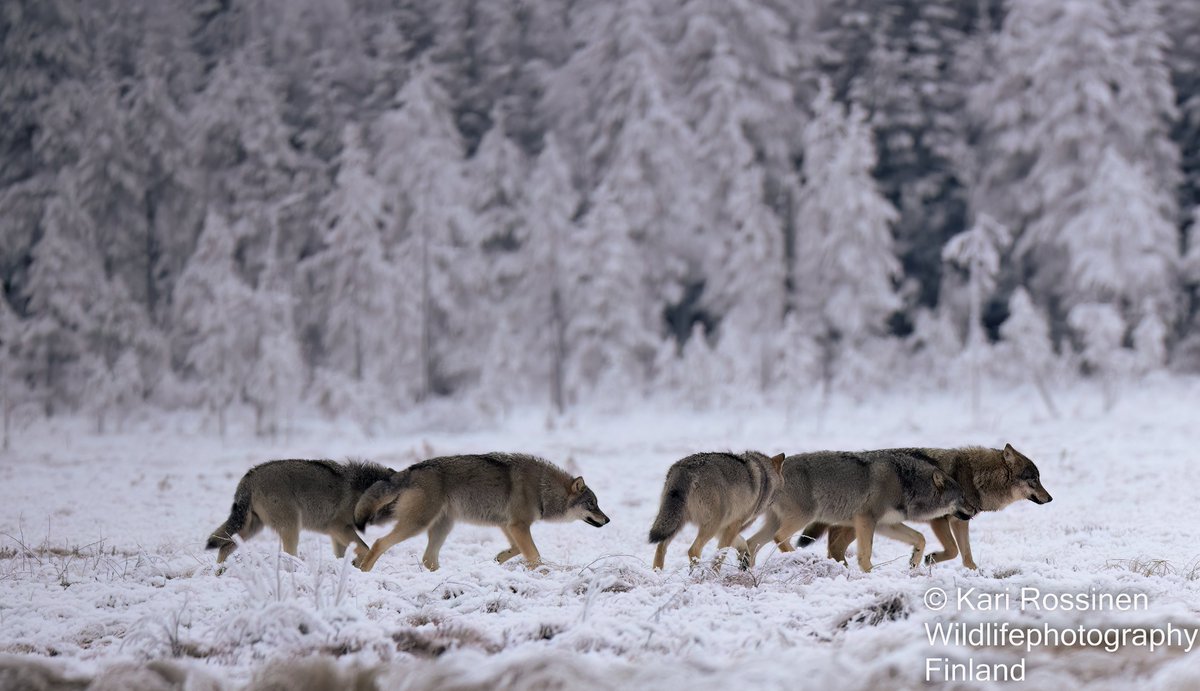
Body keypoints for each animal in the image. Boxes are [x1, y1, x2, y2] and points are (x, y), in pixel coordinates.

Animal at [206, 459, 394, 563]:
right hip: (291, 527)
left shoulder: (337, 534)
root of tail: (249, 475)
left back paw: (219, 573)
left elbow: (344, 555)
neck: (362, 494)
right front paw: (359, 564)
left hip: (250, 530)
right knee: (289, 555)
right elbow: (367, 548)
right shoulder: (338, 527)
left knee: (223, 547)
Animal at [351, 453, 609, 572]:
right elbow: (534, 554)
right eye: (592, 504)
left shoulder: (508, 525)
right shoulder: (518, 525)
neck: (542, 488)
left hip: (443, 526)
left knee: (428, 558)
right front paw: (541, 572)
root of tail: (409, 469)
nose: (607, 520)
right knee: (379, 543)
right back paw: (364, 571)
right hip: (417, 525)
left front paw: (499, 559)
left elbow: (516, 549)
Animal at [648, 451, 786, 570]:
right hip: (709, 525)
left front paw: (744, 559)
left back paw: (657, 574)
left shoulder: (724, 527)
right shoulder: (734, 524)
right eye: (780, 491)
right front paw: (715, 574)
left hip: (674, 523)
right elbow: (721, 554)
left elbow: (742, 543)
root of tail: (685, 468)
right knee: (693, 549)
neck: (765, 477)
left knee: (660, 547)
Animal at [745, 451, 979, 572]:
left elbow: (920, 538)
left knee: (751, 542)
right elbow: (865, 553)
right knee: (779, 538)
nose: (975, 508)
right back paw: (800, 558)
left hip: (776, 523)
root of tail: (770, 472)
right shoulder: (867, 519)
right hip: (803, 517)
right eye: (962, 497)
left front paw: (914, 561)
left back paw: (748, 569)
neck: (905, 483)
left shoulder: (886, 524)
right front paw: (869, 572)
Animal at [813, 444, 1051, 569]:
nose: (1050, 498)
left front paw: (975, 574)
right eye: (1034, 479)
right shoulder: (939, 520)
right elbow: (954, 550)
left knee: (833, 542)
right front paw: (929, 559)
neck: (975, 477)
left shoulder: (960, 521)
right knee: (835, 544)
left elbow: (966, 555)